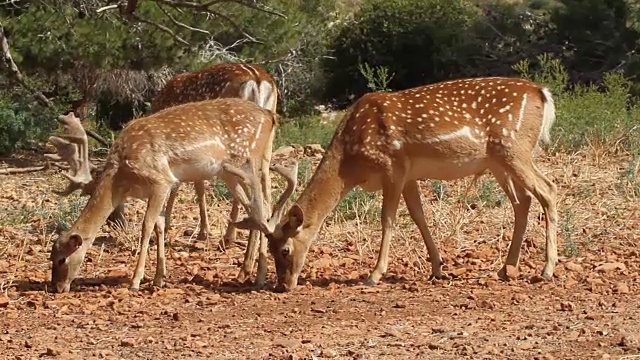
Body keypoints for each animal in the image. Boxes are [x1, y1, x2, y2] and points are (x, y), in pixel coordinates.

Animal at [48, 62, 278, 286]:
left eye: (62, 259)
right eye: (50, 257)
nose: (57, 288)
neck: (122, 178)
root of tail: (269, 116)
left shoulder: (161, 179)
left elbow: (147, 225)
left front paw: (136, 279)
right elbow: (157, 224)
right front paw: (159, 276)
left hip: (245, 161)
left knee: (260, 207)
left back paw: (250, 271)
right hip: (238, 169)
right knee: (261, 206)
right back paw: (253, 273)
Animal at [229, 76, 556, 292]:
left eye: (284, 250)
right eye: (271, 250)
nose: (282, 286)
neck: (351, 162)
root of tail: (542, 93)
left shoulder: (394, 167)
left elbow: (387, 220)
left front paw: (374, 274)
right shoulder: (410, 176)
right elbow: (419, 216)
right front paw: (437, 268)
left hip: (514, 148)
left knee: (548, 190)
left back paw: (547, 269)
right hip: (498, 161)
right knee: (523, 201)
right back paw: (506, 268)